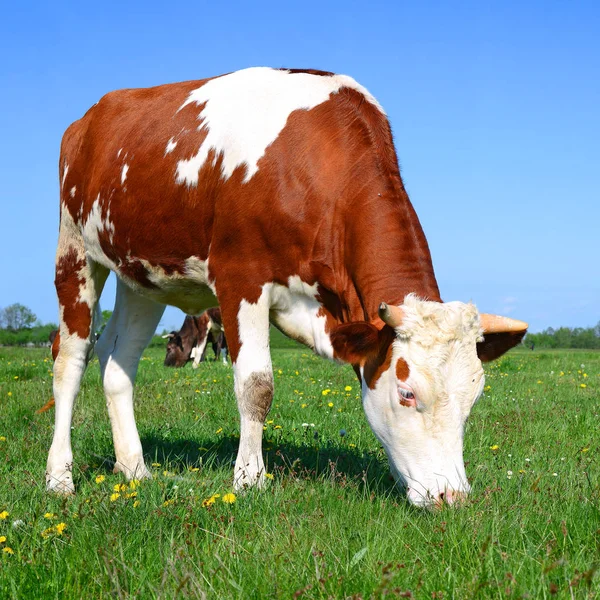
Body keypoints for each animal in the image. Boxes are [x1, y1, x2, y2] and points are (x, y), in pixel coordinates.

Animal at [47, 67, 528, 506]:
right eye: (407, 394)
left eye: (474, 396)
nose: (453, 496)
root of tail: (91, 116)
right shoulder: (240, 278)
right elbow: (256, 386)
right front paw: (249, 479)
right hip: (75, 251)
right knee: (71, 359)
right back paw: (59, 477)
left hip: (143, 277)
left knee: (118, 359)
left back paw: (134, 468)